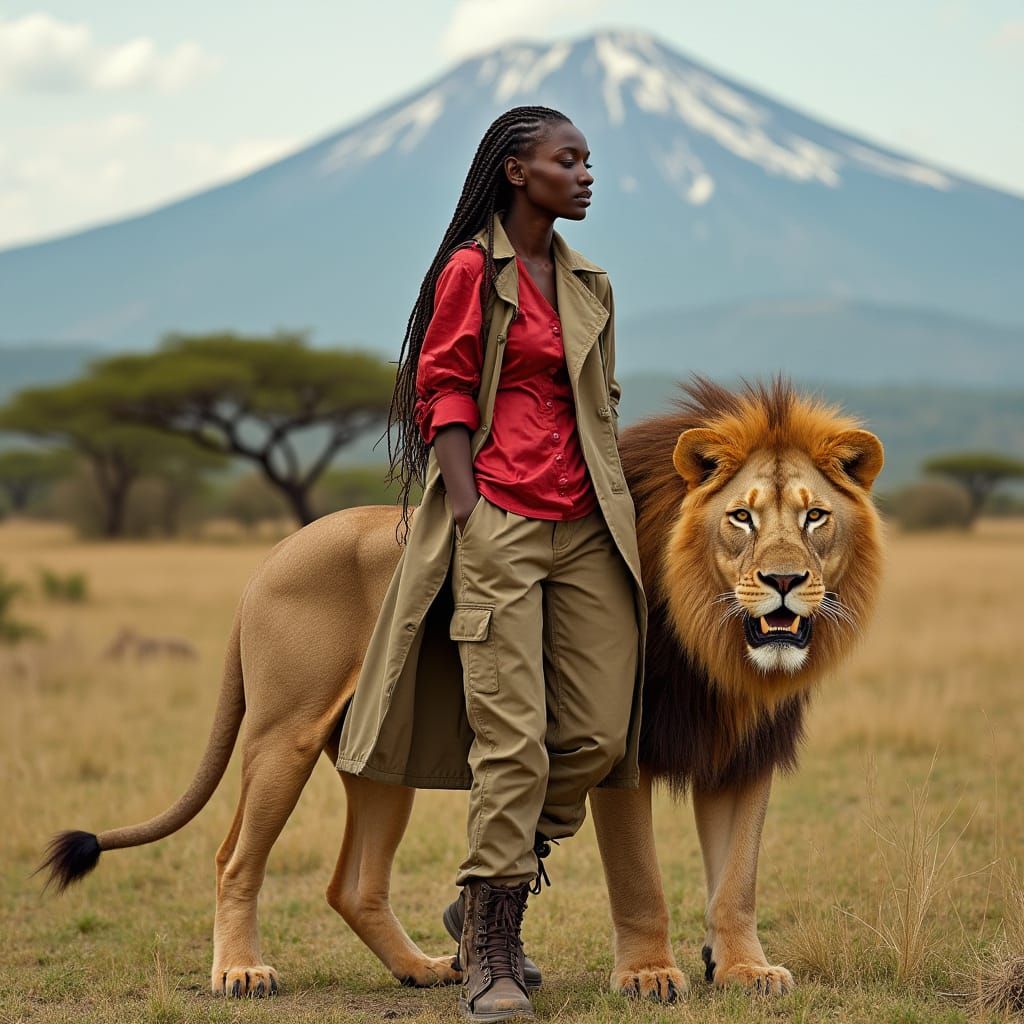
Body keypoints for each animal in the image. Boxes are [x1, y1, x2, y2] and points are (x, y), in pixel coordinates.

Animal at [40, 378, 884, 1002]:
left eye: (815, 517)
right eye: (741, 518)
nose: (784, 583)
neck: (720, 648)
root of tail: (269, 559)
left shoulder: (744, 753)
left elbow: (737, 881)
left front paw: (743, 969)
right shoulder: (621, 744)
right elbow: (639, 877)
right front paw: (648, 975)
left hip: (381, 756)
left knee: (353, 884)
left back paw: (426, 967)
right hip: (283, 736)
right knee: (232, 858)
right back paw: (242, 972)